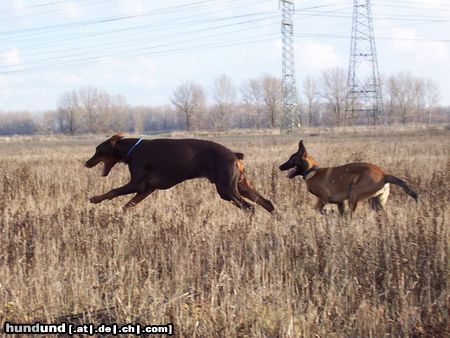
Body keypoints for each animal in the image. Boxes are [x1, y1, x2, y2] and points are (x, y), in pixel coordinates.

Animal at [84, 133, 274, 213]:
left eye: (98, 150)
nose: (86, 163)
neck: (133, 150)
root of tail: (234, 155)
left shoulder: (137, 184)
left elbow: (113, 191)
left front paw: (94, 199)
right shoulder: (147, 189)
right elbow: (128, 205)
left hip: (226, 190)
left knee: (249, 207)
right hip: (241, 185)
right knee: (267, 203)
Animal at [278, 140, 418, 214]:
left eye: (292, 159)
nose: (280, 167)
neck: (312, 171)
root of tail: (384, 174)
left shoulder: (323, 199)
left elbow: (318, 210)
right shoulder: (340, 203)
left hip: (354, 194)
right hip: (376, 202)